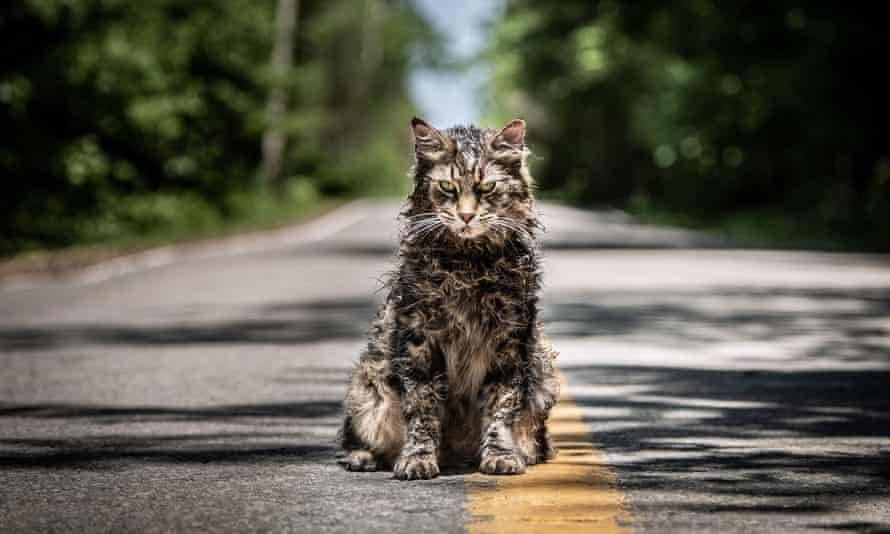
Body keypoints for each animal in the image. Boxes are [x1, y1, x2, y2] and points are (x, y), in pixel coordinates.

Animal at [336, 117, 560, 482]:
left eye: (487, 188)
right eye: (447, 187)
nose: (466, 216)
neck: (467, 265)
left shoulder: (509, 342)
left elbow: (501, 407)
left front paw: (501, 455)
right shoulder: (419, 341)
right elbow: (422, 409)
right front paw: (417, 459)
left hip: (543, 372)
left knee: (535, 438)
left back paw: (520, 452)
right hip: (368, 386)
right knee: (355, 435)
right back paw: (362, 457)